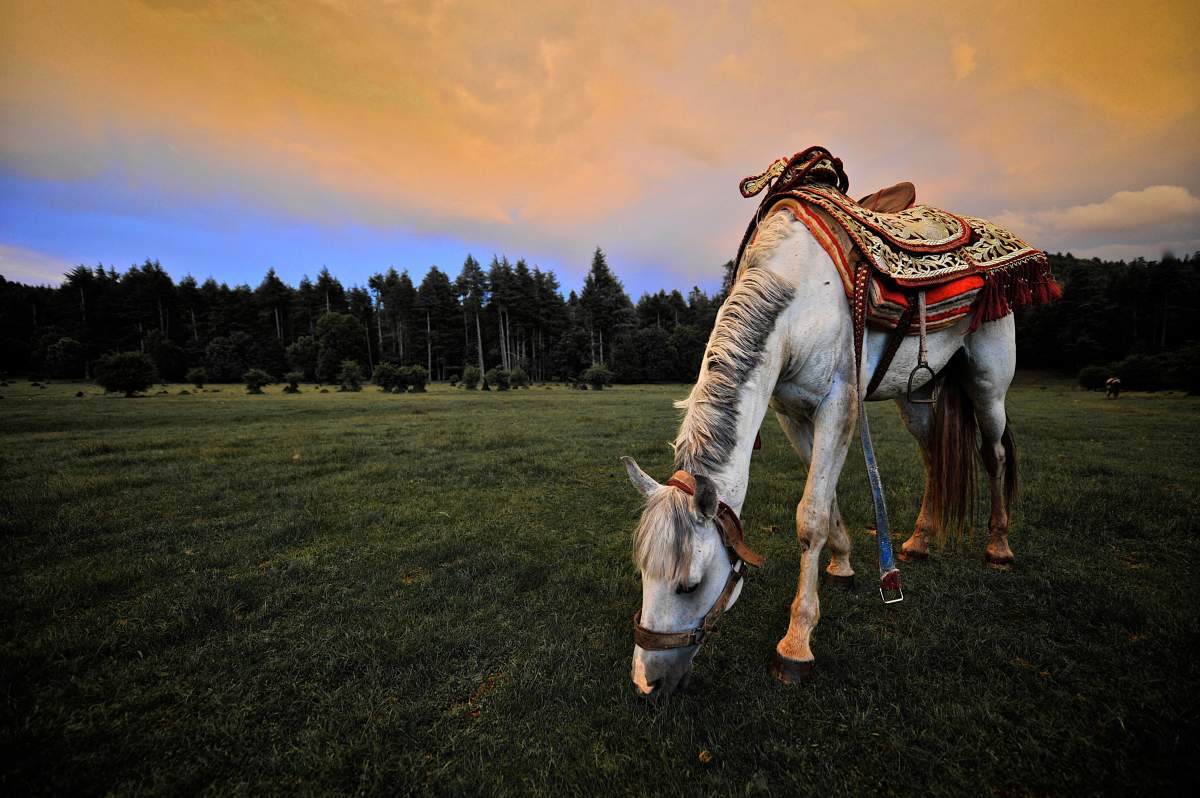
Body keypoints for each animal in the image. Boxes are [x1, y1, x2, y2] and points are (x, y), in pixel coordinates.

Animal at [624, 206, 1027, 696]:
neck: (797, 298)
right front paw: (842, 564)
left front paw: (795, 645)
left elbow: (810, 516)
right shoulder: (791, 413)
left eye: (689, 585)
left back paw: (999, 548)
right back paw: (918, 541)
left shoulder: (839, 404)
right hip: (914, 394)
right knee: (934, 458)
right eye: (643, 573)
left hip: (989, 383)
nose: (646, 684)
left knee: (994, 454)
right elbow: (825, 497)